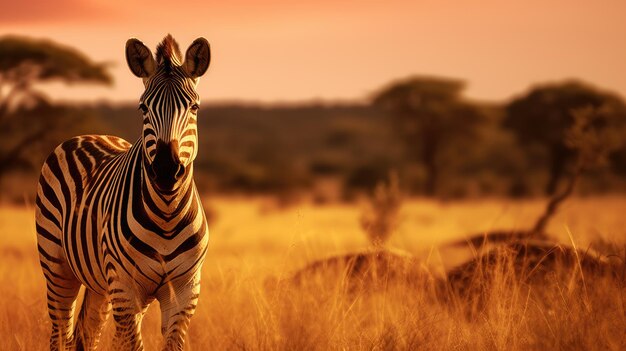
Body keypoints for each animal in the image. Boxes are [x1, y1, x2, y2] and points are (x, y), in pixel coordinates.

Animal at [37, 33, 212, 351]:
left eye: (194, 108)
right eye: (143, 108)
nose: (166, 170)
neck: (167, 215)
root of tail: (88, 135)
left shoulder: (185, 289)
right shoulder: (125, 287)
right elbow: (132, 344)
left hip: (100, 284)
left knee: (88, 334)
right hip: (57, 267)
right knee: (60, 333)